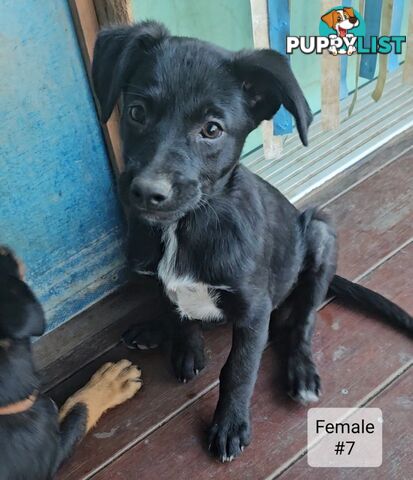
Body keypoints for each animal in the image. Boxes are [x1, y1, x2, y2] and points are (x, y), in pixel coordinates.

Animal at [91, 21, 412, 462]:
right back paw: (153, 331)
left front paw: (229, 425)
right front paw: (185, 345)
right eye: (137, 112)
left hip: (320, 232)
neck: (185, 227)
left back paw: (301, 371)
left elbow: (239, 370)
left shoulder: (254, 310)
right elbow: (176, 310)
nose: (146, 192)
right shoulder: (161, 277)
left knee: (302, 322)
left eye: (212, 129)